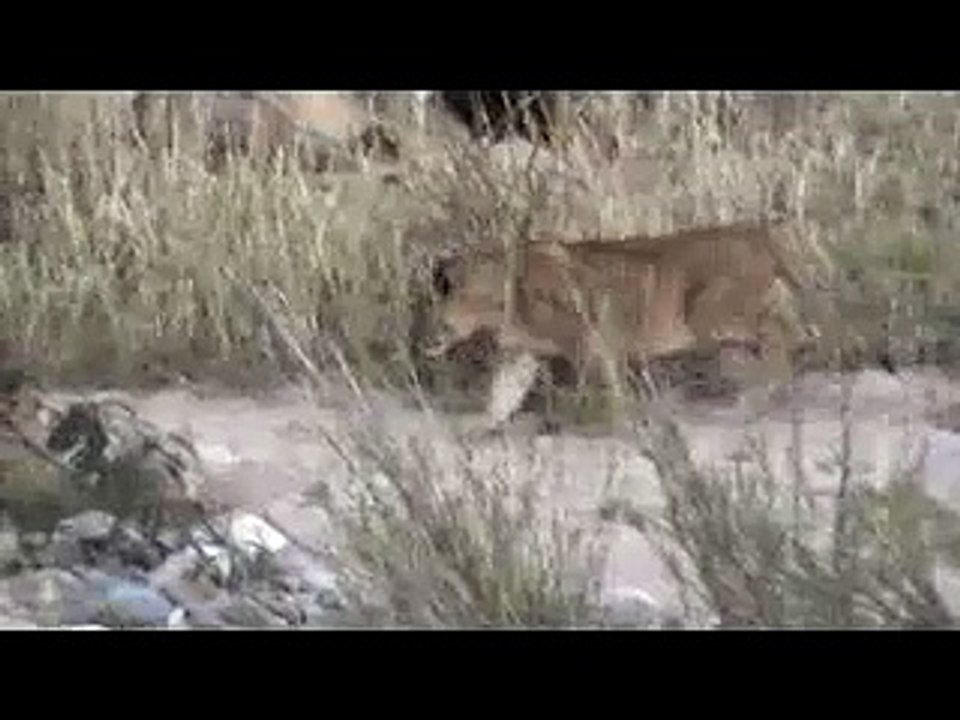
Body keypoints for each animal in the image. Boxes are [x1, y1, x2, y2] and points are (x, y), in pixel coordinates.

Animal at [426, 221, 844, 429]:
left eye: (448, 295)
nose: (431, 331)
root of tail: (759, 235)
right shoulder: (520, 355)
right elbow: (502, 396)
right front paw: (479, 429)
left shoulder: (587, 341)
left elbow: (600, 386)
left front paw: (610, 421)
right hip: (731, 320)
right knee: (784, 334)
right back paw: (763, 394)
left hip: (709, 313)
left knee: (781, 336)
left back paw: (764, 393)